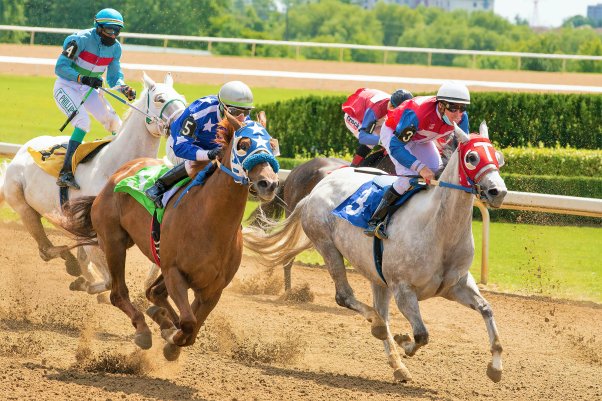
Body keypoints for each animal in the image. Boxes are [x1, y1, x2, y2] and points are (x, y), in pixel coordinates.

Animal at [0, 72, 184, 294]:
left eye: (181, 97)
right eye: (160, 99)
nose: (185, 123)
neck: (117, 166)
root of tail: (22, 151)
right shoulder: (95, 235)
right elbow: (108, 280)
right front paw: (87, 285)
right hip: (22, 204)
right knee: (46, 249)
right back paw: (70, 264)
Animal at [61, 111, 278, 356]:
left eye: (272, 145)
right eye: (243, 145)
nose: (268, 184)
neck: (210, 222)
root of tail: (120, 172)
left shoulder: (213, 288)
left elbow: (192, 328)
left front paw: (169, 332)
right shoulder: (174, 272)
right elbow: (188, 323)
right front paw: (169, 334)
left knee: (153, 293)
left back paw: (159, 318)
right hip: (114, 243)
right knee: (119, 293)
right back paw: (143, 329)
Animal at [241, 123, 504, 382]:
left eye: (499, 158)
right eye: (472, 157)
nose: (498, 191)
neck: (439, 230)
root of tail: (315, 190)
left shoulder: (457, 285)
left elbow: (487, 309)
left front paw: (496, 367)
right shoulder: (403, 289)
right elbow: (421, 334)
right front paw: (404, 342)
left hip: (377, 275)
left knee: (380, 312)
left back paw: (397, 366)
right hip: (327, 245)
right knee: (348, 299)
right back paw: (375, 326)